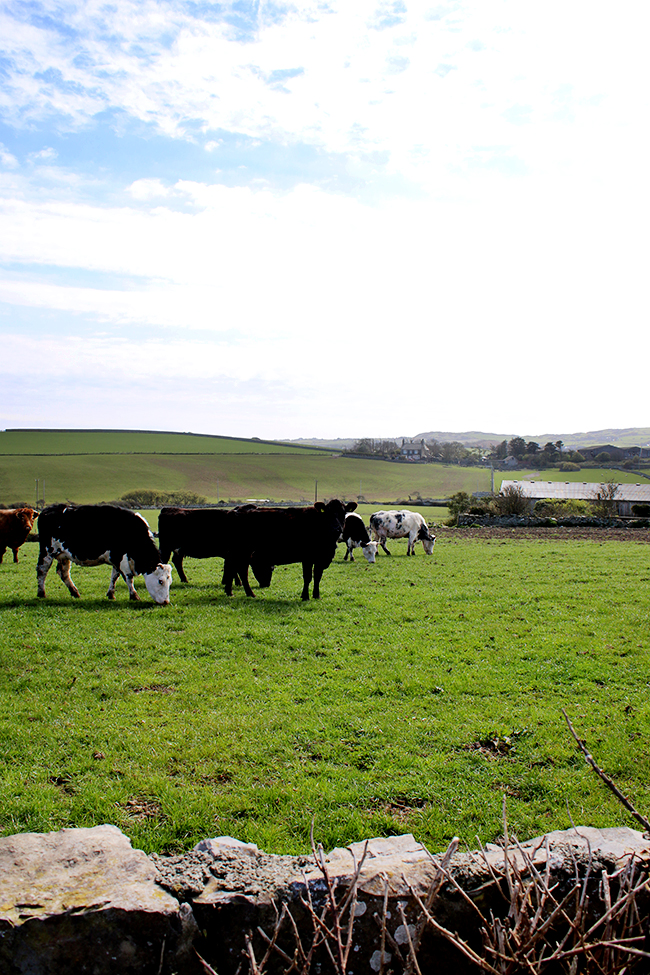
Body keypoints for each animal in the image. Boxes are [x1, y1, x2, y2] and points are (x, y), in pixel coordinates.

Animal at [36, 504, 172, 604]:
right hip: (47, 551)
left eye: (169, 582)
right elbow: (128, 577)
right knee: (42, 570)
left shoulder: (116, 559)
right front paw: (134, 596)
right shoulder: (120, 557)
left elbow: (114, 576)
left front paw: (111, 594)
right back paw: (41, 593)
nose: (166, 602)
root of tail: (47, 510)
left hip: (64, 555)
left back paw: (75, 592)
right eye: (160, 581)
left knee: (63, 572)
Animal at [222, 499, 358, 600]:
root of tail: (235, 510)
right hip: (240, 550)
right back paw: (245, 593)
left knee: (236, 568)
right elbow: (308, 577)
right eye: (327, 514)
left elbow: (317, 576)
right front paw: (305, 596)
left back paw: (234, 592)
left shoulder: (320, 558)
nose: (336, 528)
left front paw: (316, 595)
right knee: (238, 569)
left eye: (343, 513)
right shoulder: (307, 558)